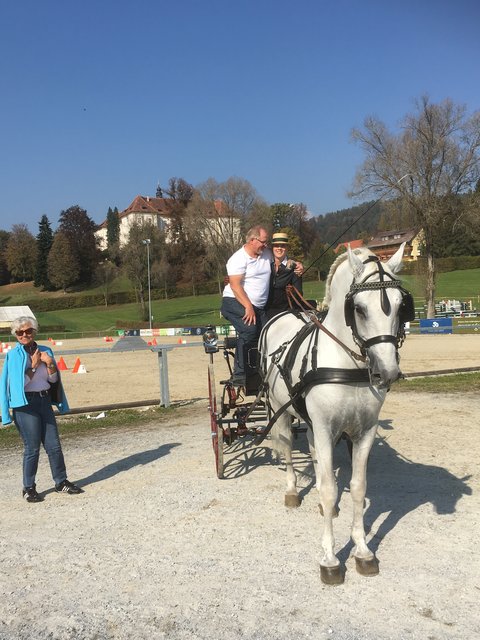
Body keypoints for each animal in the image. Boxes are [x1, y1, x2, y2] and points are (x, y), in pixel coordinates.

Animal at [258, 244, 412, 584]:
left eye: (400, 306)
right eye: (359, 309)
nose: (387, 372)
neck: (347, 364)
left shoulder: (363, 431)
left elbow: (358, 488)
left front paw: (363, 550)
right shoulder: (327, 430)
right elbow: (331, 490)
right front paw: (329, 558)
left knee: (313, 449)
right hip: (280, 410)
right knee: (286, 447)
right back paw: (292, 490)